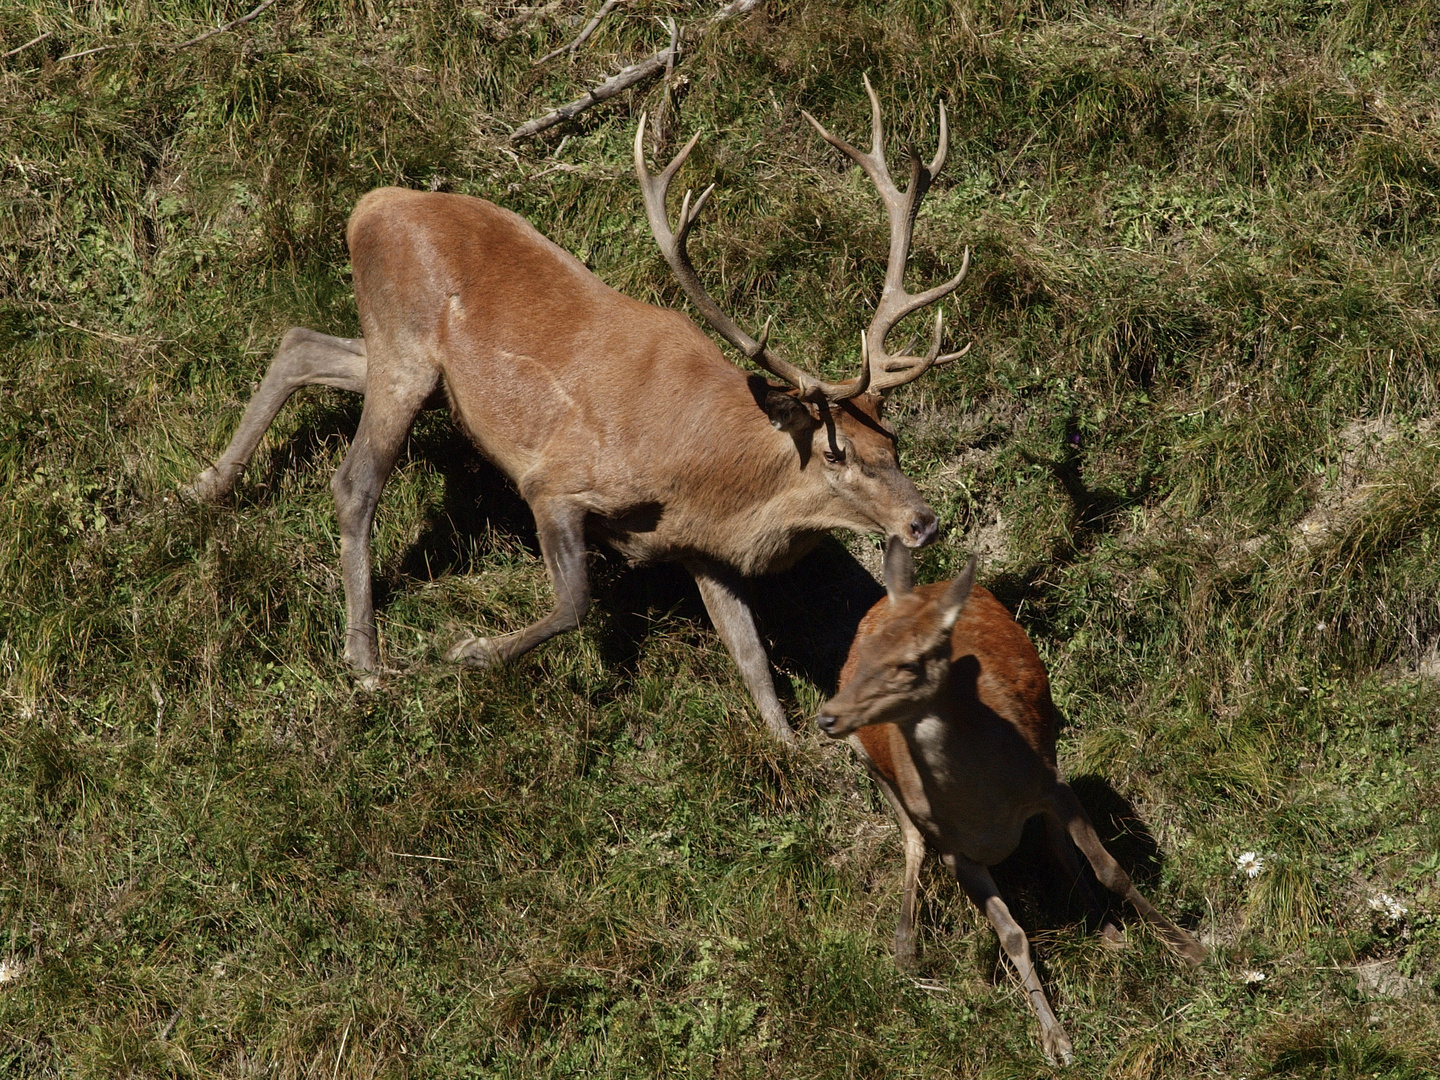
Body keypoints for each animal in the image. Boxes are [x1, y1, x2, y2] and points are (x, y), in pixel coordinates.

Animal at [823, 538, 1203, 1059]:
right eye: (867, 653)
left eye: (910, 662)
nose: (827, 716)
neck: (984, 804)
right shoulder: (954, 850)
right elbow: (1011, 934)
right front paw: (1055, 1038)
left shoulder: (1051, 785)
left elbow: (1110, 869)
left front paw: (1188, 948)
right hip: (872, 764)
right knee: (911, 839)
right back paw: (905, 948)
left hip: (1049, 741)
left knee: (1057, 845)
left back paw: (1108, 929)